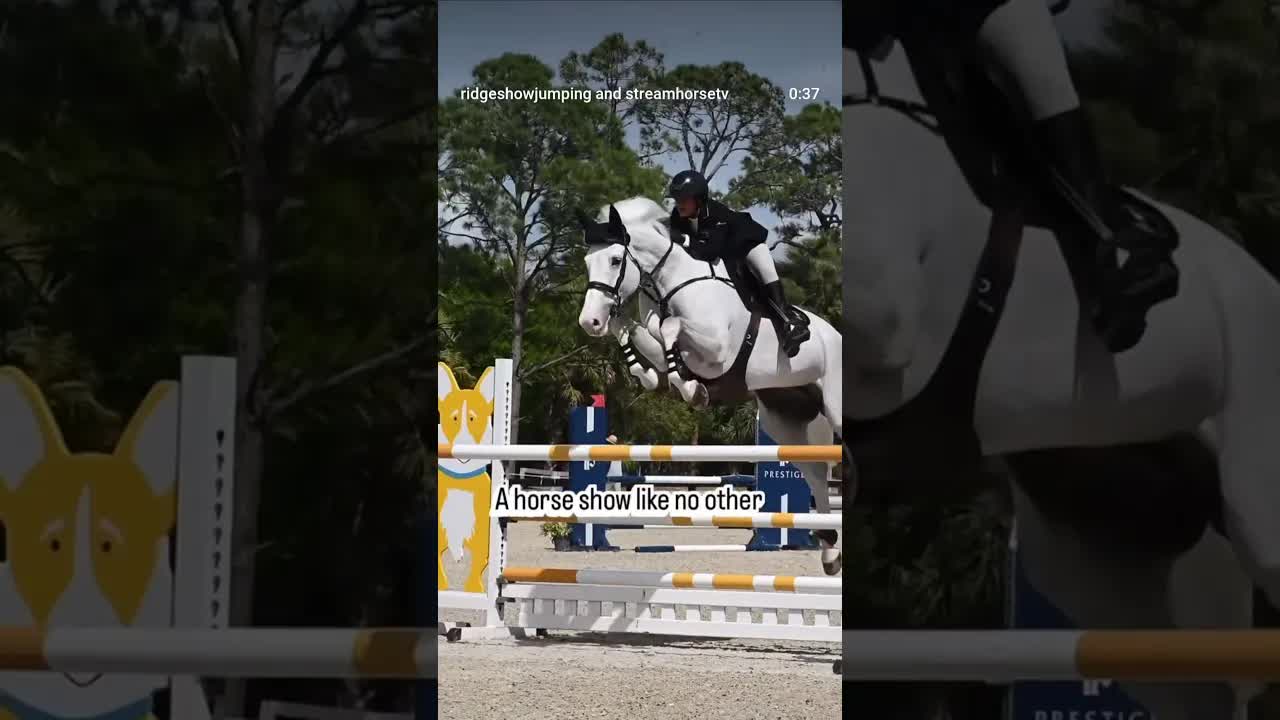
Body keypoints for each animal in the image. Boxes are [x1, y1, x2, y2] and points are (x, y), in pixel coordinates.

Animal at [578, 197, 844, 575]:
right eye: (588, 261)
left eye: (616, 259)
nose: (590, 322)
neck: (671, 282)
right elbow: (639, 332)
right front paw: (659, 377)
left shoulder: (716, 349)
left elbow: (668, 326)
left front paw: (690, 387)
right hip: (785, 422)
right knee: (817, 474)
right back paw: (830, 552)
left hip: (835, 406)